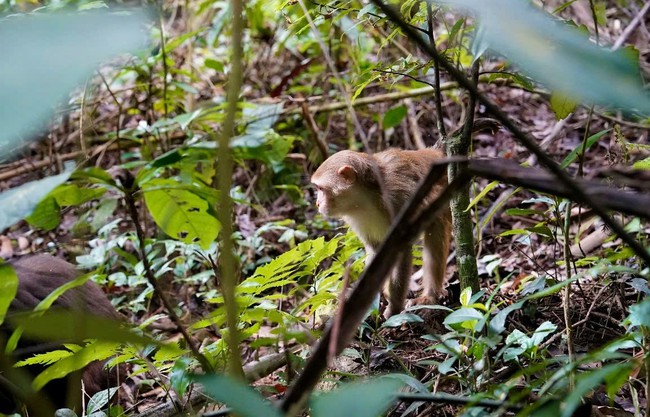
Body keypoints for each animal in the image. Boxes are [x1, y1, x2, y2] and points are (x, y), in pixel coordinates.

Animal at [310, 149, 450, 316]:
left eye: (320, 189)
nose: (317, 203)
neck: (366, 199)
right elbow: (376, 250)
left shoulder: (398, 201)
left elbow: (400, 249)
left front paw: (394, 308)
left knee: (436, 228)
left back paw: (429, 296)